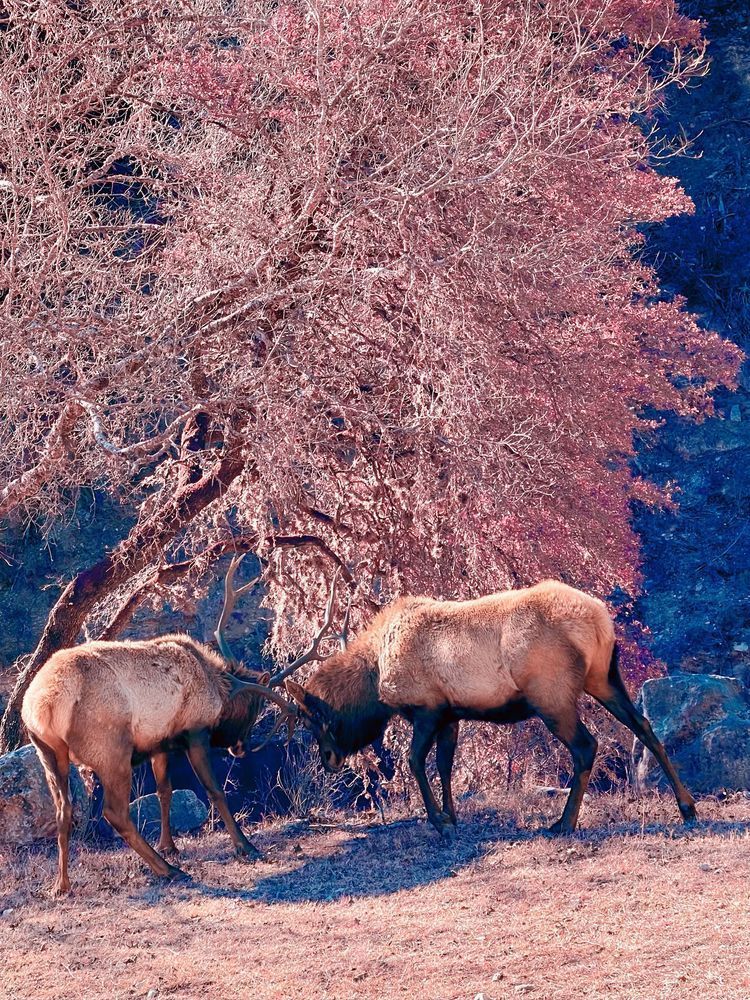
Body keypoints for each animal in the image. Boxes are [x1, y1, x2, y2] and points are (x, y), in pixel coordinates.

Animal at [20, 556, 342, 896]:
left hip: (48, 752)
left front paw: (170, 845)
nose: (239, 748)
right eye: (255, 708)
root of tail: (44, 704)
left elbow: (165, 791)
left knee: (64, 810)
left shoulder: (158, 744)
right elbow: (214, 790)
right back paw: (168, 871)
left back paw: (62, 883)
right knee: (115, 812)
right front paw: (245, 846)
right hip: (110, 750)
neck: (218, 687)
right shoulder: (195, 732)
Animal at [285, 580, 697, 840]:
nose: (328, 759)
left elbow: (414, 762)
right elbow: (444, 766)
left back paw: (564, 824)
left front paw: (440, 823)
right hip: (604, 677)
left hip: (551, 694)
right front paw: (452, 817)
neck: (375, 679)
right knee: (644, 725)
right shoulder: (450, 715)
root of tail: (600, 620)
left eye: (314, 718)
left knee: (586, 746)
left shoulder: (427, 709)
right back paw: (687, 807)